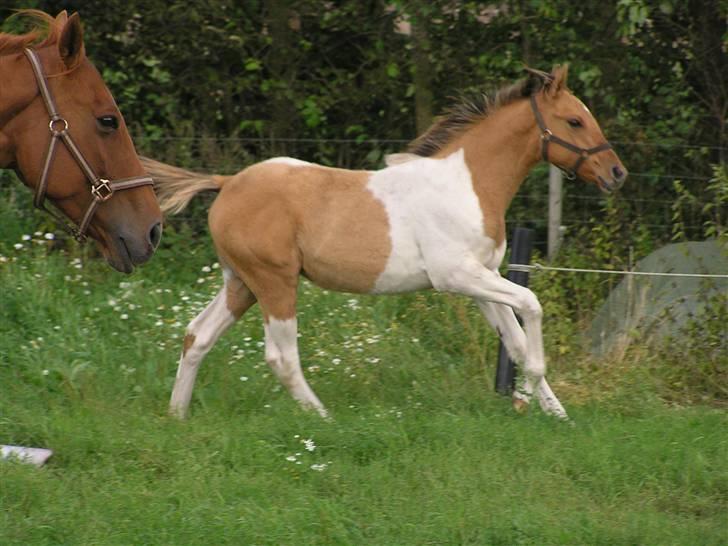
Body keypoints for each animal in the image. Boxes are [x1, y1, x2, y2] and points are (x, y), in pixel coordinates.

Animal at [144, 66, 624, 418]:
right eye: (575, 120)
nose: (616, 173)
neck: (466, 184)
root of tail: (227, 183)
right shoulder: (457, 276)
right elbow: (531, 305)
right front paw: (536, 392)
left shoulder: (480, 281)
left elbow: (517, 342)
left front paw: (557, 414)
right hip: (275, 282)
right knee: (281, 356)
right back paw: (324, 418)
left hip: (240, 283)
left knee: (197, 334)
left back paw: (177, 415)